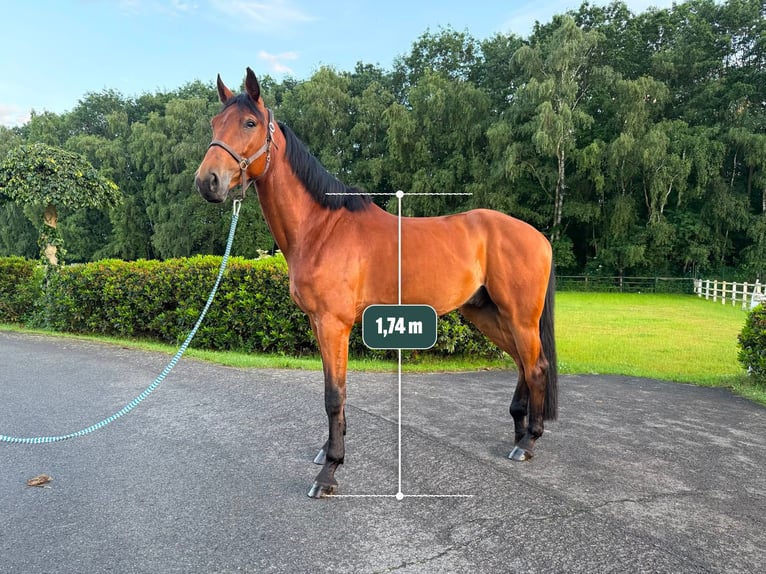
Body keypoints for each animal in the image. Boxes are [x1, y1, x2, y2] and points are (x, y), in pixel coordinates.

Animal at [195, 68, 558, 499]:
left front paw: (329, 472)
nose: (208, 181)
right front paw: (328, 451)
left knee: (536, 366)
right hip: (487, 314)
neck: (322, 228)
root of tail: (539, 237)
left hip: (519, 316)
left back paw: (528, 441)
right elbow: (334, 390)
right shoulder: (319, 323)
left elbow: (334, 395)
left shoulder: (334, 324)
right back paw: (518, 431)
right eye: (215, 123)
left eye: (249, 123)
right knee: (522, 363)